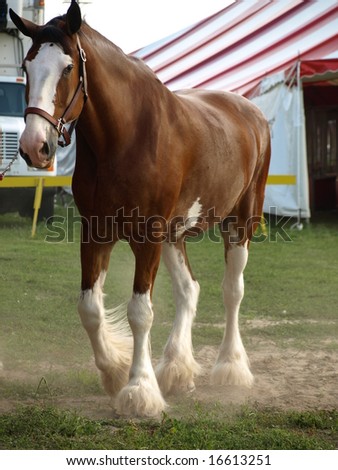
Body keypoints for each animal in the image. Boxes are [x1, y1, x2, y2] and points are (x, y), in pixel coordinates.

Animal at [9, 0, 270, 418]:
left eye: (67, 67)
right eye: (27, 66)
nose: (35, 147)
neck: (126, 137)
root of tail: (250, 111)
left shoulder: (147, 236)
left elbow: (140, 312)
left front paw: (139, 390)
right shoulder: (97, 232)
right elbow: (90, 308)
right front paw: (116, 372)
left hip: (240, 224)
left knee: (232, 291)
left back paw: (230, 368)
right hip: (175, 234)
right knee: (189, 290)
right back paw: (177, 369)